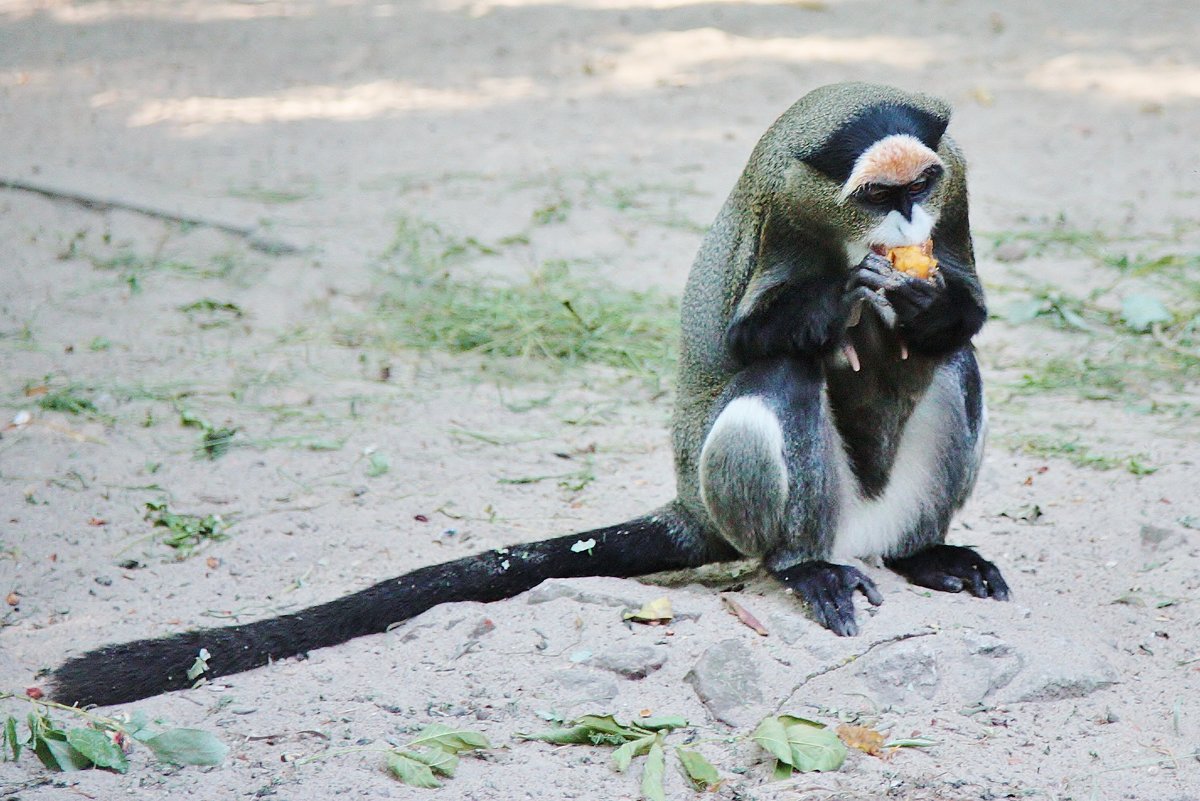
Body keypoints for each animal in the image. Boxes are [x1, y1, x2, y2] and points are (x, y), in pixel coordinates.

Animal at [49, 81, 1003, 705]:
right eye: (878, 191)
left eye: (920, 185)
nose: (906, 221)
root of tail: (692, 506)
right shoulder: (785, 209)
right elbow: (746, 343)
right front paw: (840, 302)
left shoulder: (958, 180)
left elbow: (964, 316)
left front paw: (926, 300)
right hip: (755, 507)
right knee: (779, 380)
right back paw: (806, 565)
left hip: (879, 509)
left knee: (954, 363)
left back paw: (924, 553)